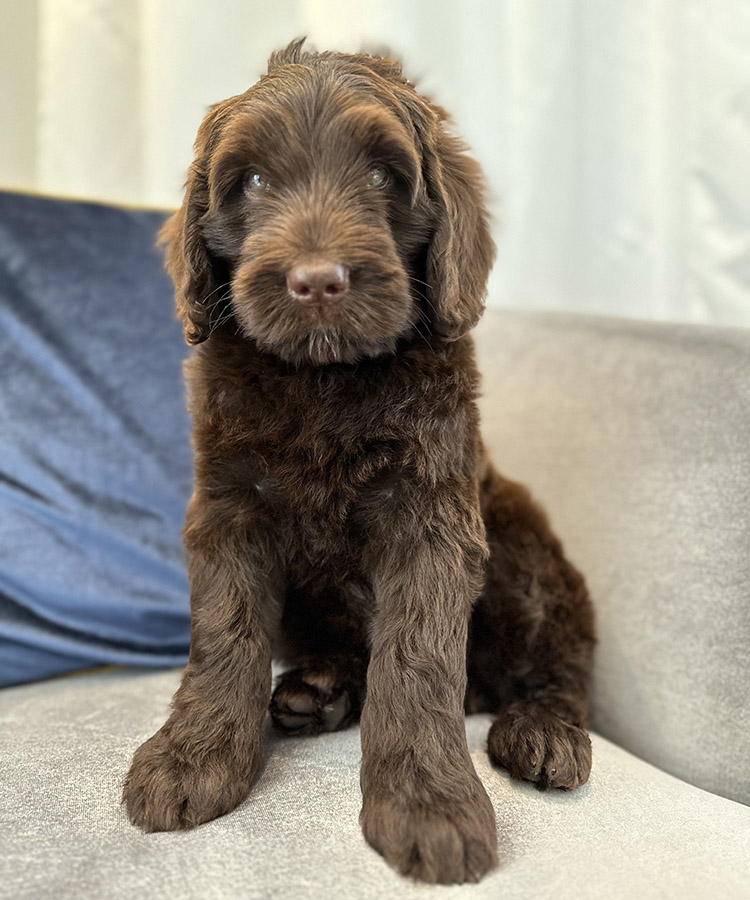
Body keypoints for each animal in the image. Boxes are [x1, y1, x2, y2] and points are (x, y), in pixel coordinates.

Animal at [123, 40, 596, 884]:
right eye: (251, 181)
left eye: (381, 174)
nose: (317, 282)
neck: (325, 378)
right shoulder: (231, 505)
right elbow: (223, 633)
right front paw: (193, 758)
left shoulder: (432, 514)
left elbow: (418, 658)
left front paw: (428, 804)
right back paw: (320, 691)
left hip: (523, 547)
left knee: (558, 663)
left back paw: (544, 730)